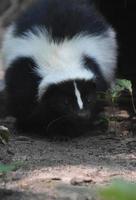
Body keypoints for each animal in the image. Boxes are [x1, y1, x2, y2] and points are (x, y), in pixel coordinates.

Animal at [1, 0, 117, 137]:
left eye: (89, 98)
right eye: (64, 101)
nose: (82, 115)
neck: (60, 59)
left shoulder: (96, 70)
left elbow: (99, 96)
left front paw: (81, 126)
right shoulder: (24, 72)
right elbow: (26, 103)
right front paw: (55, 130)